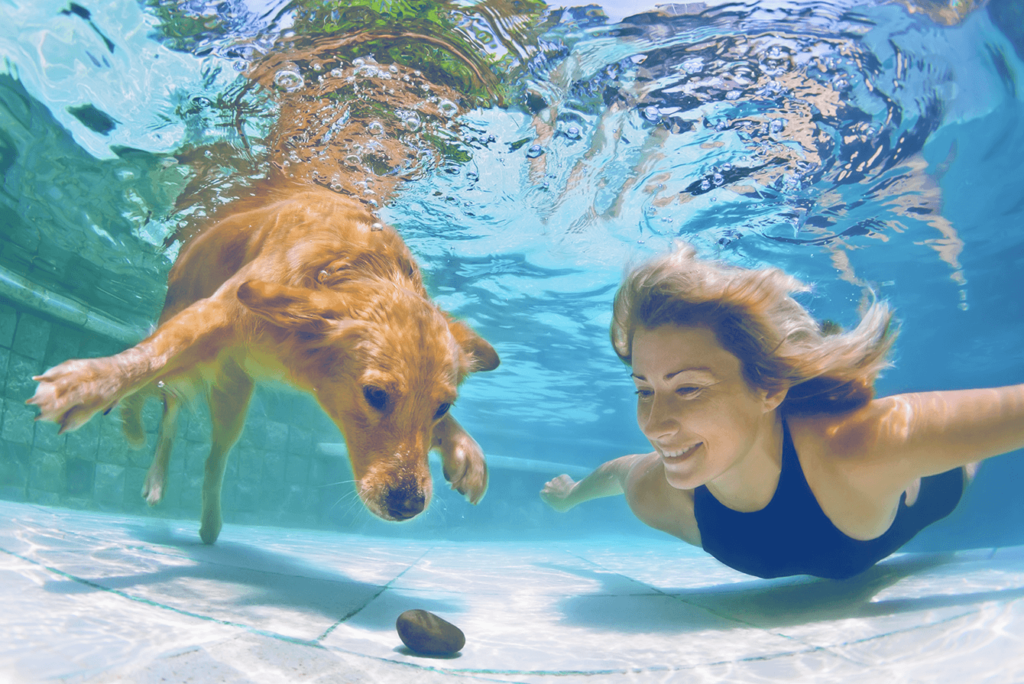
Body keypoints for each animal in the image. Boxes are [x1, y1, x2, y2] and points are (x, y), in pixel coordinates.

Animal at [28, 184, 499, 540]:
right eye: (375, 395)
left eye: (442, 407)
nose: (409, 504)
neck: (351, 264)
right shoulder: (216, 311)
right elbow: (145, 359)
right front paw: (91, 382)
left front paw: (464, 450)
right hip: (187, 342)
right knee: (163, 397)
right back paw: (144, 452)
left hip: (234, 396)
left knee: (210, 453)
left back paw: (209, 523)